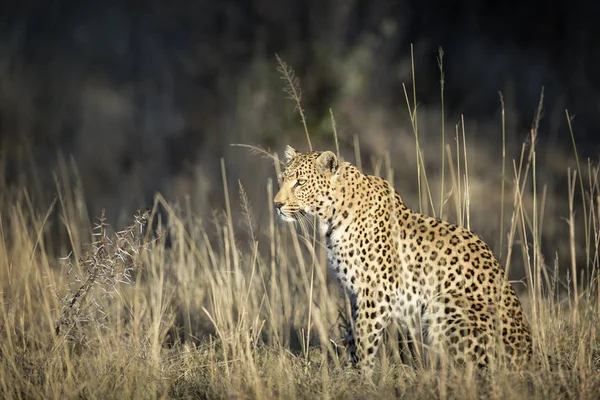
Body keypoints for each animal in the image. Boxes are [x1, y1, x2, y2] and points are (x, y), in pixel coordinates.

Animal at [274, 146, 532, 376]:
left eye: (300, 183)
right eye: (282, 179)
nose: (276, 204)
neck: (332, 215)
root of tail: (529, 358)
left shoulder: (376, 292)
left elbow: (365, 338)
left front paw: (362, 379)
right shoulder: (355, 294)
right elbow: (353, 334)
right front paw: (351, 371)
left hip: (446, 304)